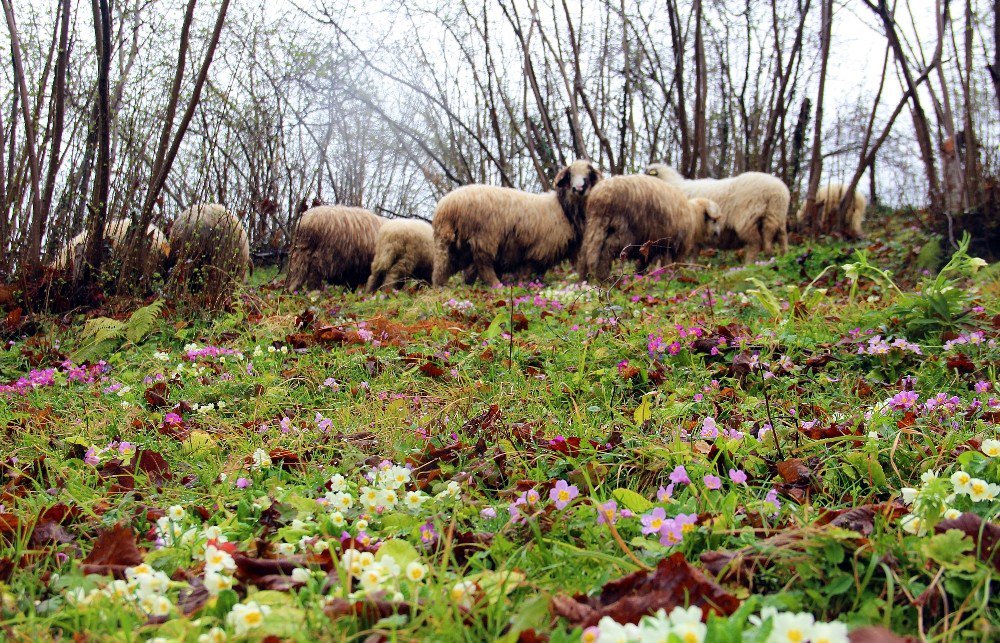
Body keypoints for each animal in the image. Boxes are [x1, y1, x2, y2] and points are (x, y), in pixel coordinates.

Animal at [432, 158, 600, 286]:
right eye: (570, 175)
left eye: (588, 175)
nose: (578, 188)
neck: (563, 209)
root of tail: (448, 205)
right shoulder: (539, 250)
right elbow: (529, 270)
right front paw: (525, 284)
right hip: (484, 238)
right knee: (484, 265)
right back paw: (497, 285)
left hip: (451, 244)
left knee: (442, 268)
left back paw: (444, 288)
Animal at [576, 172, 724, 280]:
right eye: (714, 221)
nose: (717, 234)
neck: (694, 216)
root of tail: (602, 195)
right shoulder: (677, 246)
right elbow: (673, 264)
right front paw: (673, 276)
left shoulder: (653, 245)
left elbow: (645, 262)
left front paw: (641, 276)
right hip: (623, 232)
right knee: (606, 252)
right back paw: (604, 278)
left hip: (596, 225)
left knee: (586, 252)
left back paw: (585, 278)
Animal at [644, 164, 792, 264]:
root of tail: (777, 191)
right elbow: (694, 251)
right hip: (777, 216)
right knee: (782, 239)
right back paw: (782, 258)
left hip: (748, 220)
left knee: (755, 244)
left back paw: (748, 265)